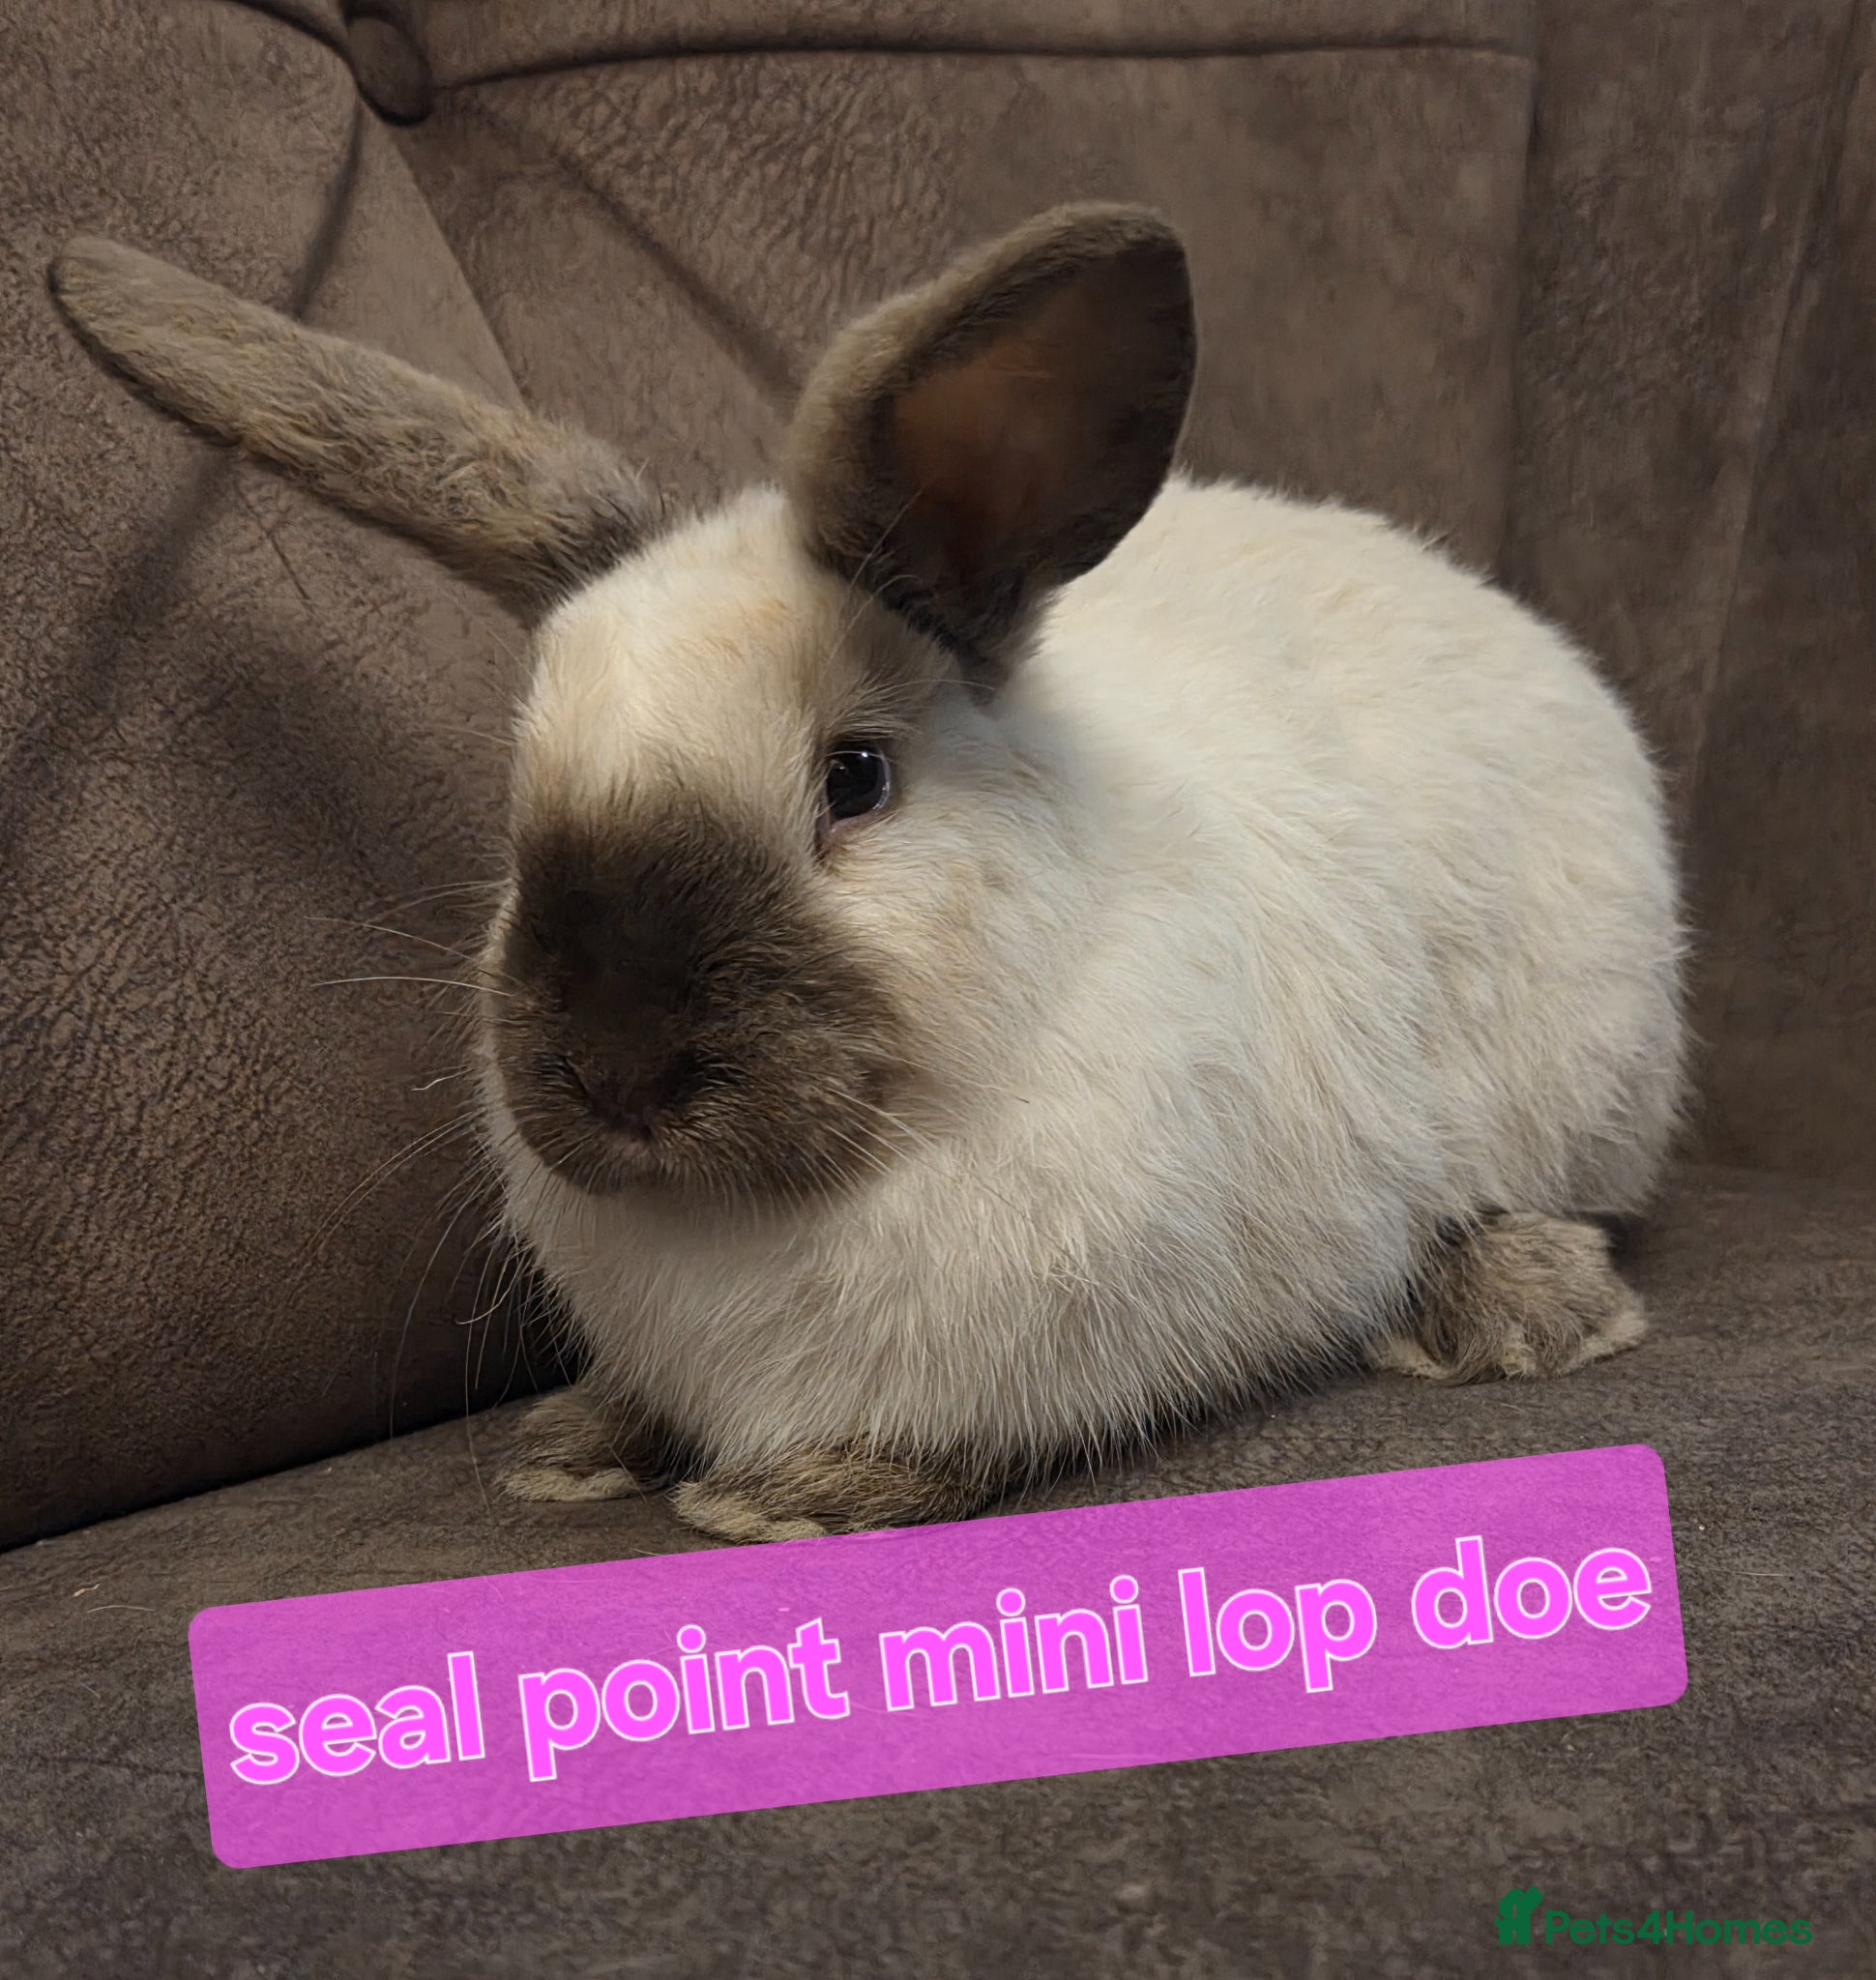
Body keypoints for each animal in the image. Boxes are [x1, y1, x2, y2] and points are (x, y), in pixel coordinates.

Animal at [50, 205, 1685, 1543]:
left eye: (856, 781)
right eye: (519, 809)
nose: (619, 1071)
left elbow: (959, 1448)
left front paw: (786, 1498)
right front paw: (571, 1450)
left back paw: (1520, 1312)